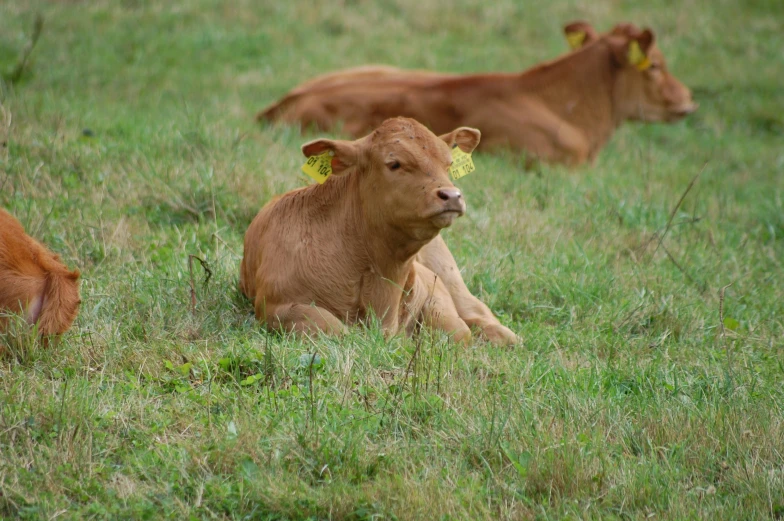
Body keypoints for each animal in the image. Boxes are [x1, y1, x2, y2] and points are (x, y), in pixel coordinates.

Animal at [239, 118, 520, 346]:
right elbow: (334, 329)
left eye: (448, 164)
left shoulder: (433, 284)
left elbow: (457, 331)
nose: (452, 195)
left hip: (449, 274)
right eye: (394, 163)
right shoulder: (275, 306)